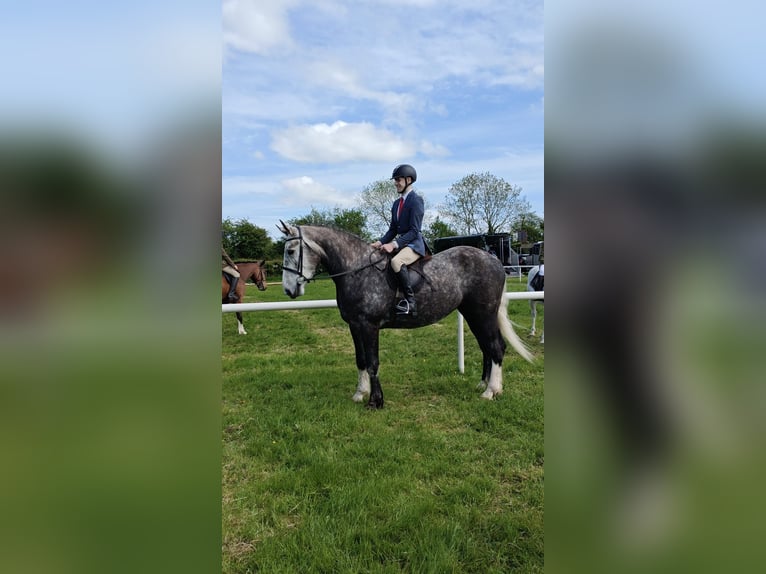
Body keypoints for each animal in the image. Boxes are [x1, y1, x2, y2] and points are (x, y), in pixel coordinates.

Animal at [278, 222, 533, 409]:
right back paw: (483, 384)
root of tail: (493, 259)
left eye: (291, 251)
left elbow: (373, 362)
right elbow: (361, 360)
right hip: (472, 314)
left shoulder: (369, 326)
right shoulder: (354, 325)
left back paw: (492, 391)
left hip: (484, 314)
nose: (289, 290)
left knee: (496, 347)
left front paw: (375, 401)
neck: (357, 270)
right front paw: (360, 394)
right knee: (486, 348)